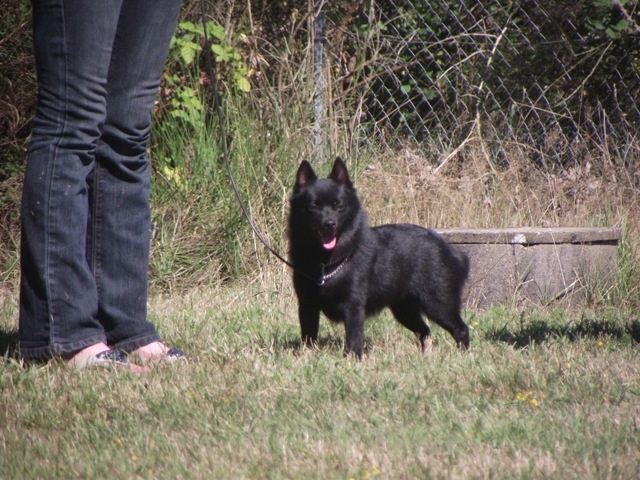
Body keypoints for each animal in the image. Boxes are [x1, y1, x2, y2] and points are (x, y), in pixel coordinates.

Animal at [288, 157, 470, 359]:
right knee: (425, 331)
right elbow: (308, 337)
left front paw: (352, 360)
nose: (330, 224)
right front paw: (306, 357)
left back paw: (463, 356)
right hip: (404, 310)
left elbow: (354, 338)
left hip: (438, 305)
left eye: (339, 206)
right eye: (314, 206)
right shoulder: (307, 304)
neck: (327, 263)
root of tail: (452, 252)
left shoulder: (353, 306)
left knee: (461, 329)